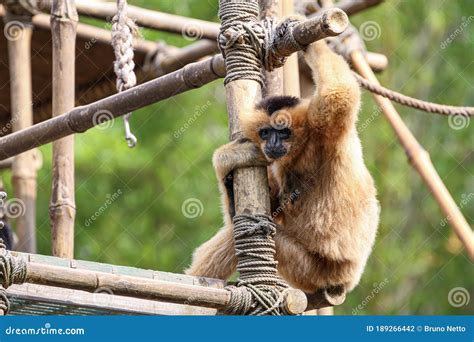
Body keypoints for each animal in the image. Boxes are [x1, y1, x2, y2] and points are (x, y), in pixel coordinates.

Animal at [186, 39, 382, 292]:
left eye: (283, 132)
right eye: (265, 132)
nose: (272, 143)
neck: (305, 146)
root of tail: (347, 280)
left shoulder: (325, 126)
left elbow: (339, 95)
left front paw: (309, 39)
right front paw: (228, 169)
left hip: (314, 272)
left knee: (237, 236)